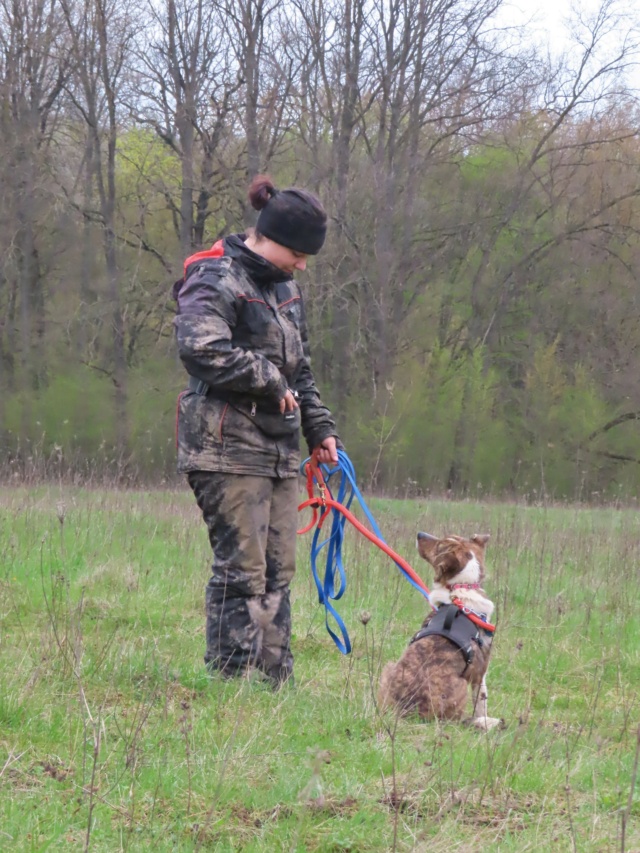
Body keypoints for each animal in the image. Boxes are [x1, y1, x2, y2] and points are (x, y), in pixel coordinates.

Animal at [378, 528, 502, 728]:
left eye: (439, 546)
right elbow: (481, 702)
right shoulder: (480, 673)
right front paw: (483, 719)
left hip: (388, 669)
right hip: (460, 688)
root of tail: (408, 712)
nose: (420, 534)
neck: (461, 587)